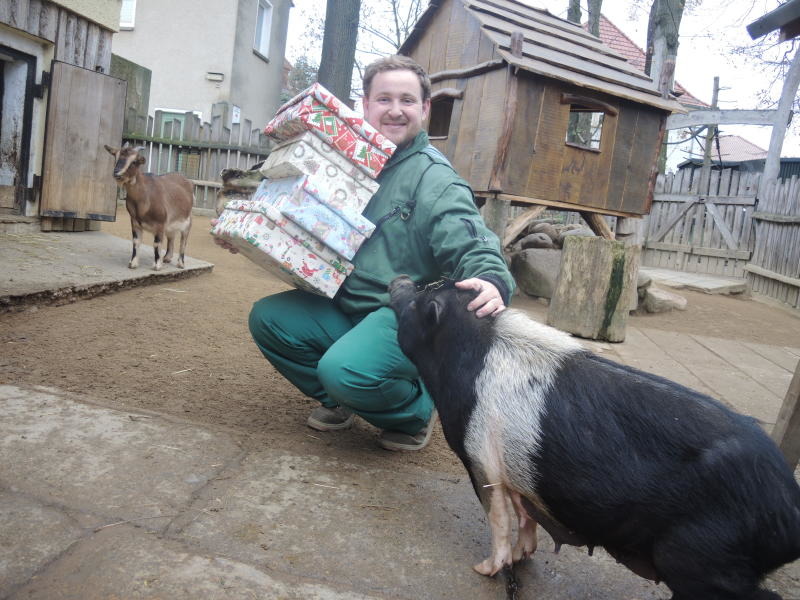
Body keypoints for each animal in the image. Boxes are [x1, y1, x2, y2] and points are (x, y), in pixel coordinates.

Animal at [388, 276, 800, 600]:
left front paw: (484, 569)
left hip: (704, 557)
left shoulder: (479, 456)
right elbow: (526, 515)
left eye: (420, 297)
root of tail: (789, 508)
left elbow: (498, 517)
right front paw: (524, 555)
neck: (464, 354)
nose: (400, 279)